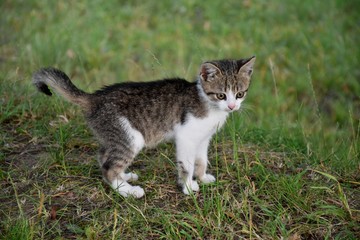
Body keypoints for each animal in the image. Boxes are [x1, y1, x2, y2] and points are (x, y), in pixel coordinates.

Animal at [32, 56, 255, 199]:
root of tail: (94, 97)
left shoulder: (203, 138)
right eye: (221, 95)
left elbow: (201, 160)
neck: (207, 104)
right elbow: (187, 164)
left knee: (104, 155)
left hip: (114, 136)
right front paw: (188, 186)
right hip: (131, 137)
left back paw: (125, 177)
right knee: (108, 168)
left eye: (240, 94)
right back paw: (127, 190)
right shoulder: (186, 136)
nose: (232, 106)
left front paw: (201, 177)